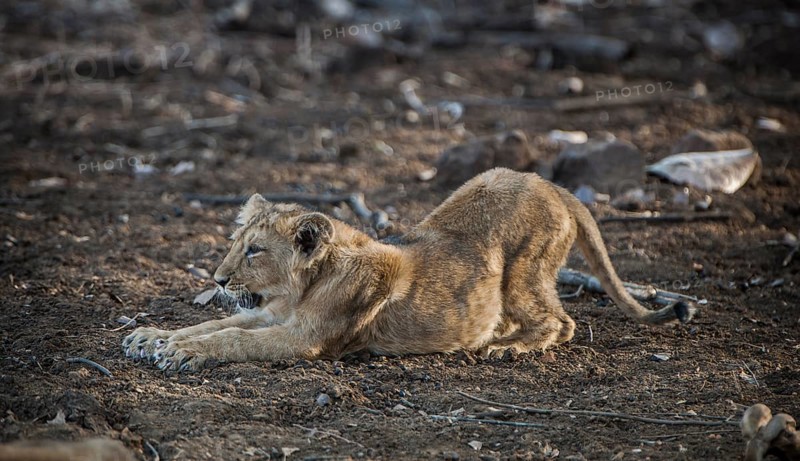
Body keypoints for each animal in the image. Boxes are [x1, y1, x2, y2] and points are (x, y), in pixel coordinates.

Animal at [123, 168, 694, 372]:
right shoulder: (272, 316)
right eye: (235, 244)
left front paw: (182, 353)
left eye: (254, 251)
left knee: (562, 322)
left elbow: (232, 340)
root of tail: (554, 186)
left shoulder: (304, 339)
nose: (218, 280)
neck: (301, 288)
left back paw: (506, 348)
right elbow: (216, 323)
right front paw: (154, 338)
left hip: (522, 271)